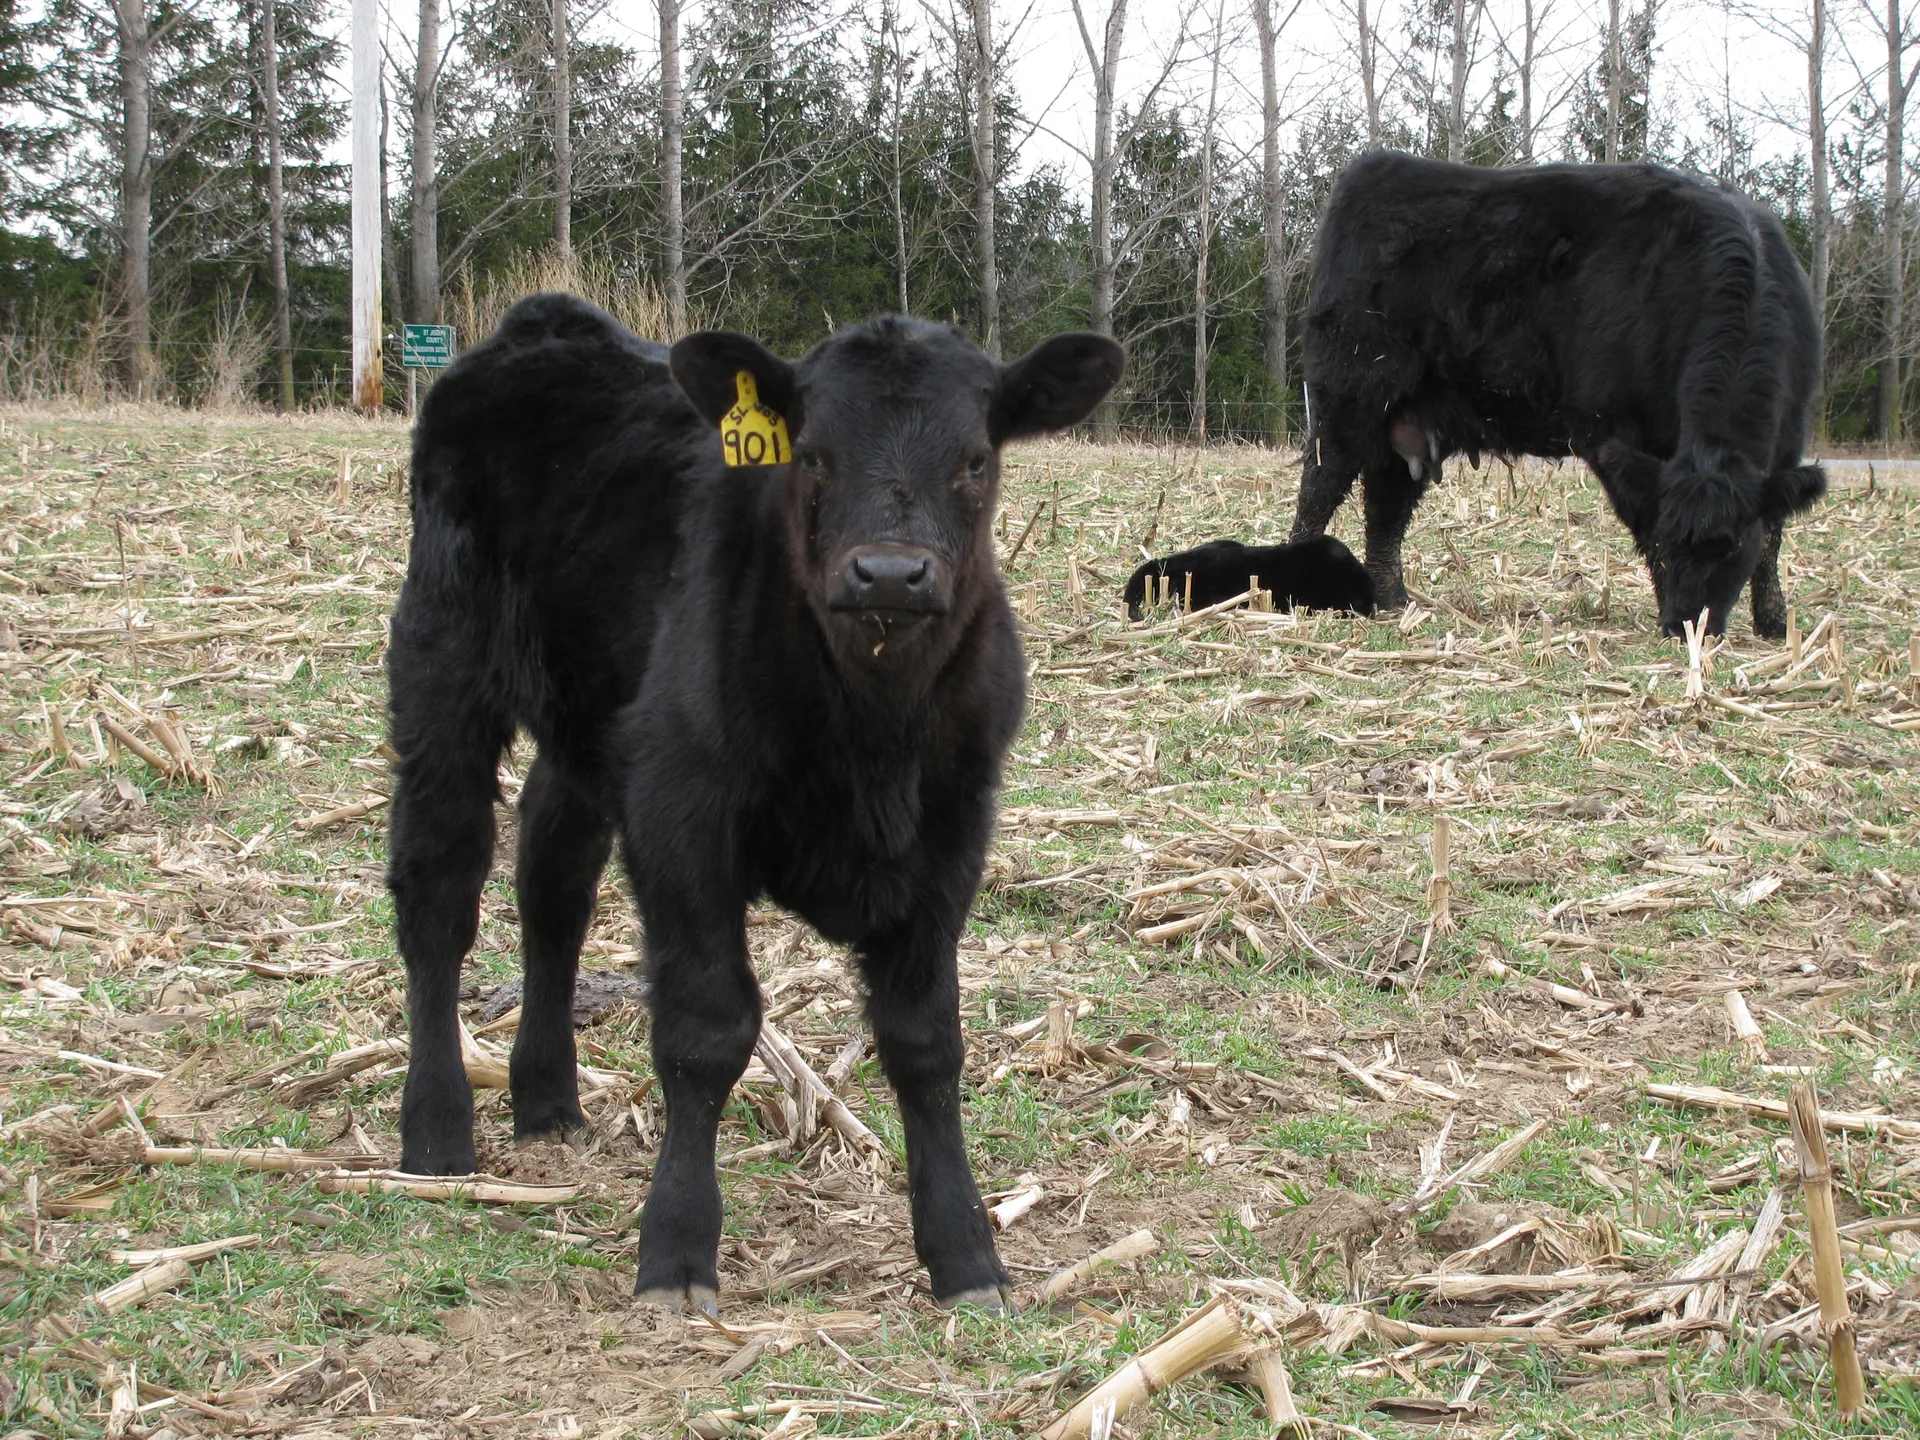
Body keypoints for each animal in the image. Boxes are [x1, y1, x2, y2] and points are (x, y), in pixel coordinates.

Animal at [387, 293, 1123, 1314]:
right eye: (810, 453)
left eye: (976, 458)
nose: (888, 574)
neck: (874, 735)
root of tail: (546, 324)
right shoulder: (682, 813)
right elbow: (708, 1028)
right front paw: (677, 1250)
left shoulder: (951, 835)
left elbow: (927, 1041)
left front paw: (965, 1254)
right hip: (443, 657)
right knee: (441, 891)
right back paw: (438, 1130)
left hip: (593, 724)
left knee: (553, 882)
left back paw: (547, 1099)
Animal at [1291, 152, 1826, 638]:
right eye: (1673, 537)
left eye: (1732, 547)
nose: (1686, 624)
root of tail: (1374, 165)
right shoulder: (1610, 428)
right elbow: (1645, 521)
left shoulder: (1788, 440)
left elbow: (1772, 536)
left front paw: (1774, 621)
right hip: (1349, 396)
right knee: (1320, 485)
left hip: (1407, 422)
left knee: (1386, 507)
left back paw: (1393, 601)